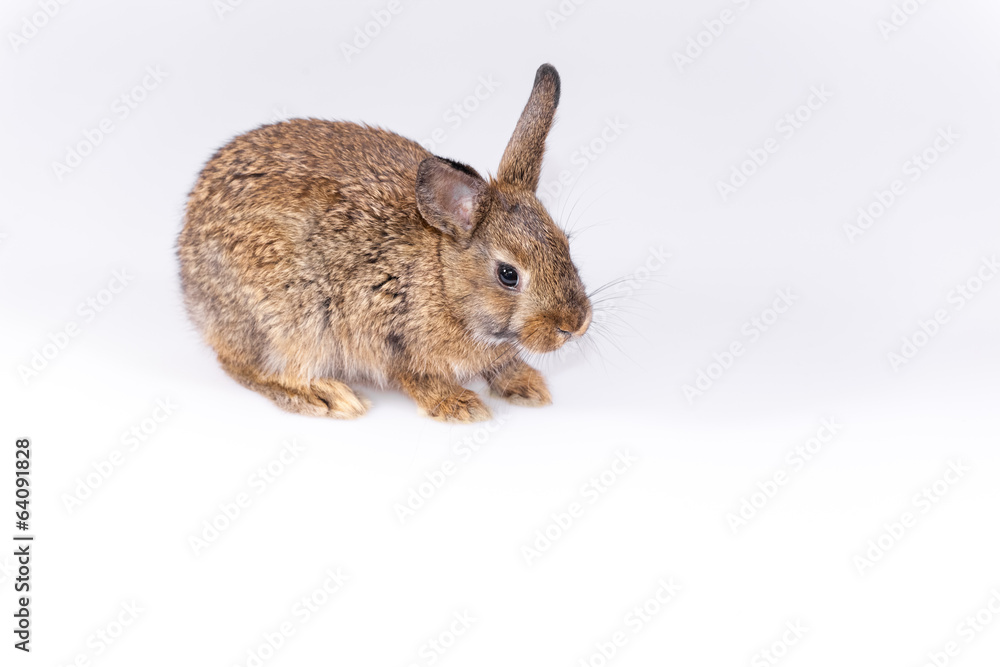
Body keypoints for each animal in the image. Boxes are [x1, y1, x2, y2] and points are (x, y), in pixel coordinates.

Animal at [177, 64, 591, 423]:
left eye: (566, 245)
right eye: (508, 275)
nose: (576, 324)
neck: (443, 284)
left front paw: (527, 385)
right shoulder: (388, 337)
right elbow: (417, 377)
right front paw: (460, 406)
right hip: (288, 323)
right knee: (246, 367)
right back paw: (326, 396)